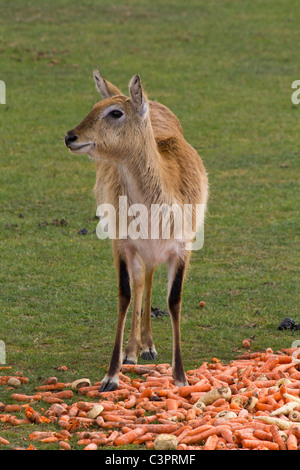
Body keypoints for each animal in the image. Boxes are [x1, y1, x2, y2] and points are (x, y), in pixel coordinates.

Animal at [64, 70, 207, 392]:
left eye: (115, 112)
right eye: (94, 105)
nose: (70, 136)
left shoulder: (183, 246)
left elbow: (174, 300)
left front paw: (180, 376)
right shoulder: (121, 242)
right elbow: (125, 294)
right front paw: (111, 375)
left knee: (150, 278)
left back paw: (149, 346)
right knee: (141, 281)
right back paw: (133, 351)